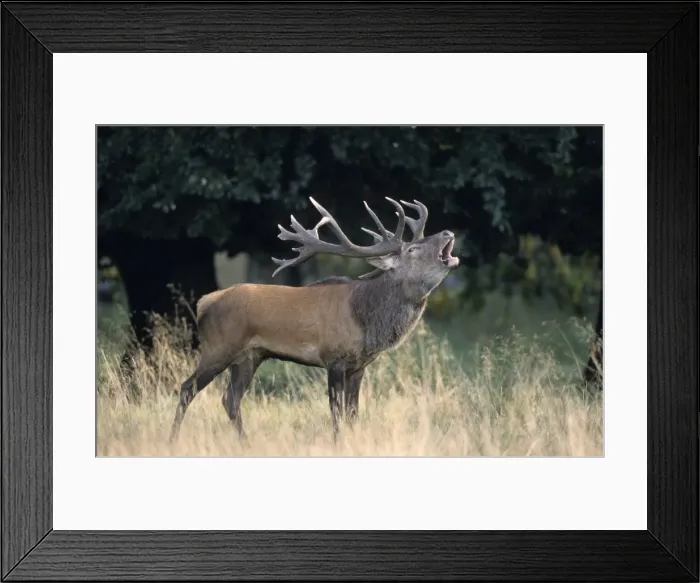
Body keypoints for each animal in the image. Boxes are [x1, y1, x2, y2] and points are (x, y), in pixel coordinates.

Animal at [168, 196, 460, 443]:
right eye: (413, 248)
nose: (447, 232)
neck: (365, 321)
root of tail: (204, 302)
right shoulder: (334, 357)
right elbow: (336, 412)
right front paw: (339, 443)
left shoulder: (359, 366)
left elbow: (353, 413)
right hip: (219, 347)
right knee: (187, 388)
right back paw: (173, 440)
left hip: (248, 357)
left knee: (230, 399)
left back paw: (245, 443)